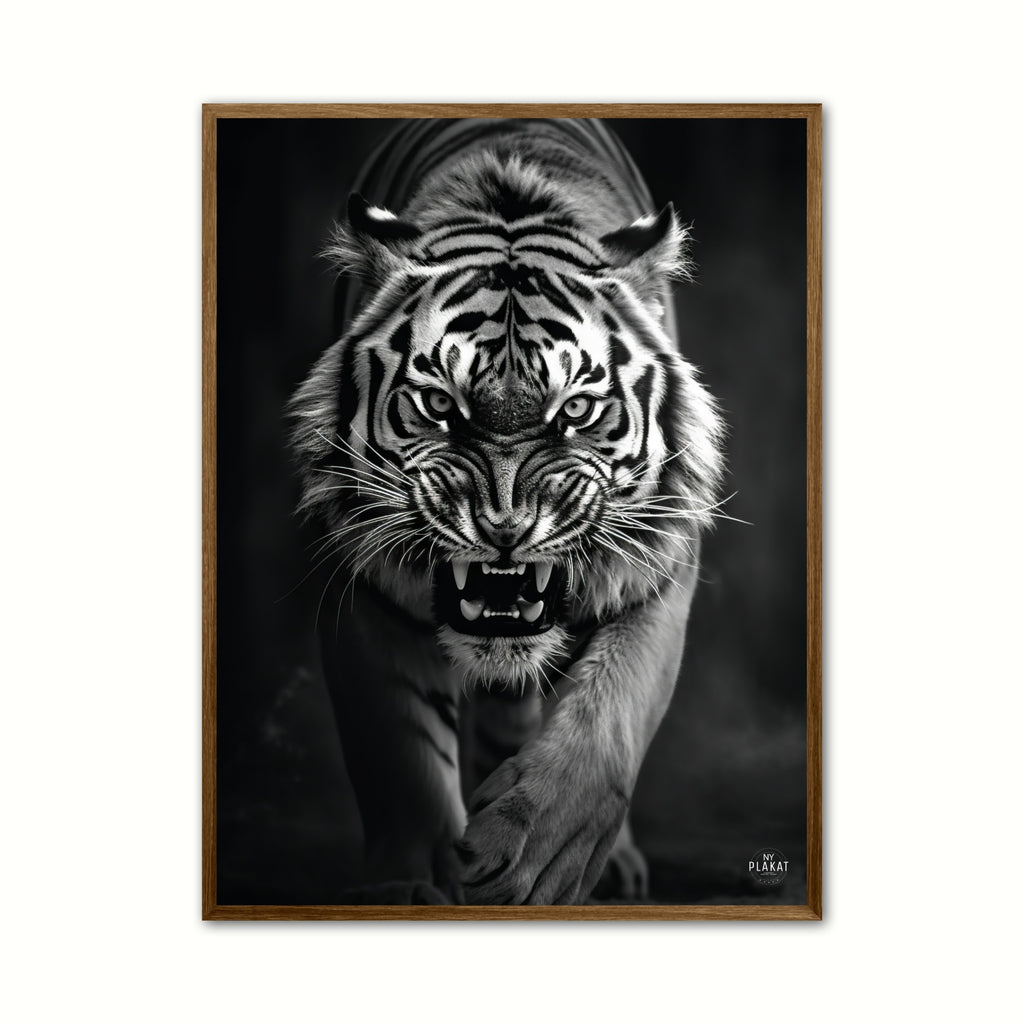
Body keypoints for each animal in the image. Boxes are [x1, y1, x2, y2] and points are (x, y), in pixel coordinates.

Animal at [289, 118, 725, 905]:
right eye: (439, 404)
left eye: (576, 410)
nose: (504, 531)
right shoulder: (363, 583)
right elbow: (399, 758)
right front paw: (411, 884)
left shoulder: (659, 569)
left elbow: (604, 725)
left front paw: (532, 856)